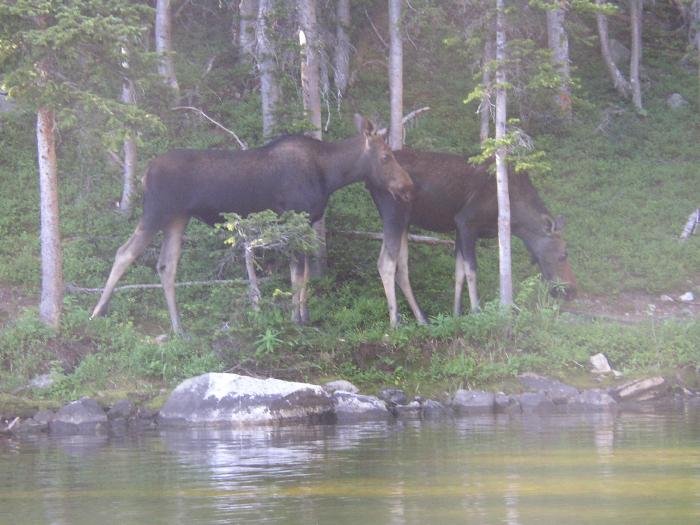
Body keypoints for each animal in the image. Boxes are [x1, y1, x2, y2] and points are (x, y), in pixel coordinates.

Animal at [90, 116, 412, 334]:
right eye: (386, 156)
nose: (407, 185)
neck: (331, 175)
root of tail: (144, 174)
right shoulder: (295, 216)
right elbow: (298, 275)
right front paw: (296, 319)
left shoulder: (304, 223)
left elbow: (302, 274)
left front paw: (304, 316)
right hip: (156, 211)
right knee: (124, 252)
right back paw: (96, 314)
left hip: (177, 218)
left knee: (166, 265)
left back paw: (178, 328)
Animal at [370, 148, 576, 328]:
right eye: (563, 255)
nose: (572, 291)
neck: (517, 218)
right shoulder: (466, 222)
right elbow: (471, 270)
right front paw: (476, 312)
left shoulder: (459, 230)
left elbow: (459, 272)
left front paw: (456, 315)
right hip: (394, 213)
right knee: (385, 263)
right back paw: (395, 323)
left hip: (404, 222)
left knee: (401, 268)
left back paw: (422, 319)